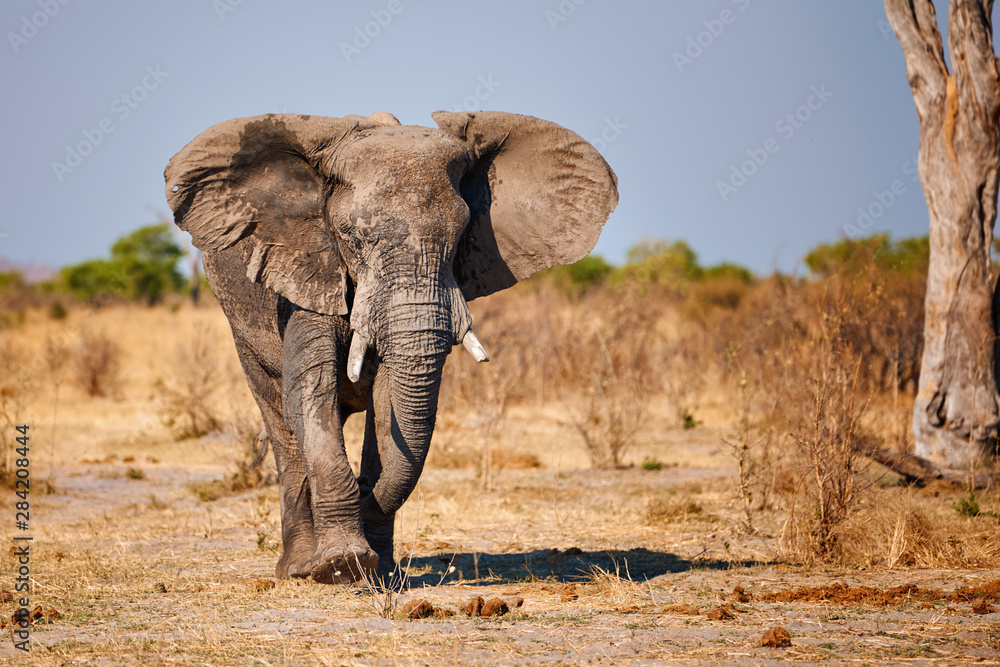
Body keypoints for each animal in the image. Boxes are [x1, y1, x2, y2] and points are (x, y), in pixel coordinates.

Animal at [164, 110, 618, 584]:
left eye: (462, 234)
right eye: (352, 237)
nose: (365, 501)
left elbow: (389, 405)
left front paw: (370, 566)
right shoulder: (306, 271)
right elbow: (311, 392)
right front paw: (340, 564)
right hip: (241, 325)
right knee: (279, 418)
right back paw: (297, 567)